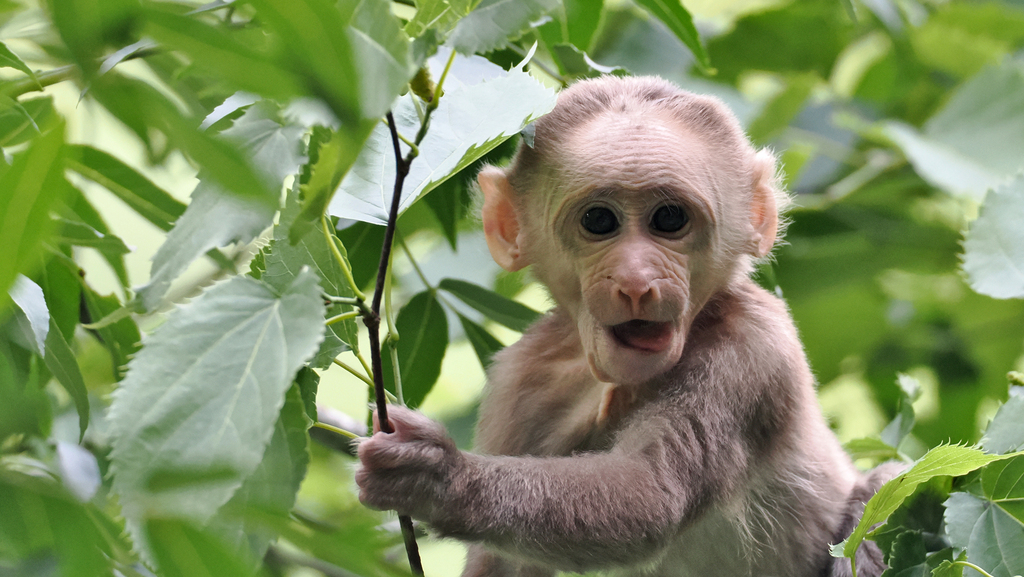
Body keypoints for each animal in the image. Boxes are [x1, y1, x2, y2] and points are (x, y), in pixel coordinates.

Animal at [356, 76, 898, 576]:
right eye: (599, 221)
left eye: (669, 218)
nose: (637, 281)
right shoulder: (522, 376)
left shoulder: (753, 346)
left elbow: (651, 496)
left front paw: (438, 478)